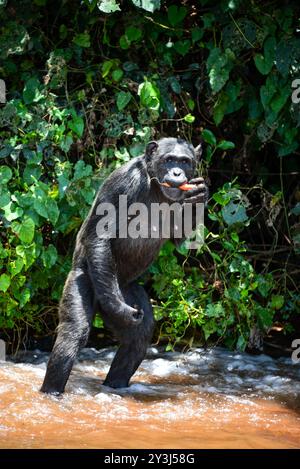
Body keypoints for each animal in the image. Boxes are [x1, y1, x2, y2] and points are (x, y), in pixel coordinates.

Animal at [40, 137, 209, 394]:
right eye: (169, 159)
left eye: (185, 162)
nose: (177, 172)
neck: (153, 182)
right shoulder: (124, 182)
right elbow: (100, 237)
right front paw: (120, 309)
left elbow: (180, 239)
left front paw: (200, 194)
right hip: (87, 280)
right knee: (73, 334)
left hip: (128, 289)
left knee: (137, 339)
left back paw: (116, 385)